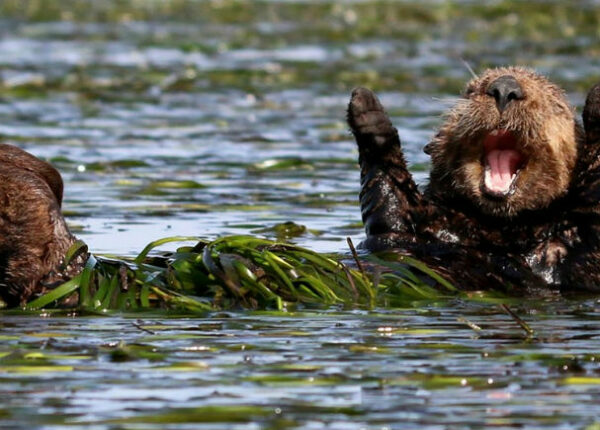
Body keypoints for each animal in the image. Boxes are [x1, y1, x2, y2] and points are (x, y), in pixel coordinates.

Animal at [344, 67, 600, 294]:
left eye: (555, 104)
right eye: (470, 91)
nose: (505, 88)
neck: (499, 230)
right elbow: (389, 204)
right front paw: (368, 111)